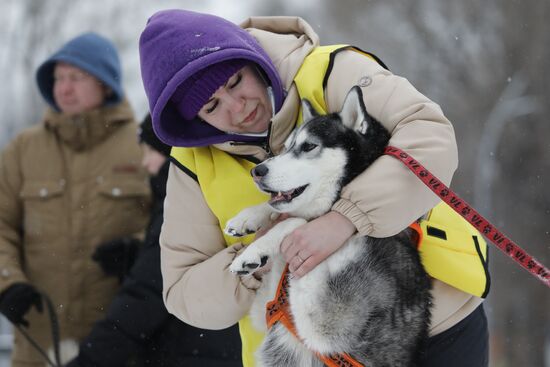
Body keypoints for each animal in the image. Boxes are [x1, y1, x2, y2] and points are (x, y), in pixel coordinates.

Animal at [226, 87, 434, 367]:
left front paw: (254, 251)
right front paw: (247, 219)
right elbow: (281, 211)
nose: (257, 171)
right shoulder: (270, 309)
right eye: (287, 147)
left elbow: (297, 221)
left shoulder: (326, 323)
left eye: (308, 146)